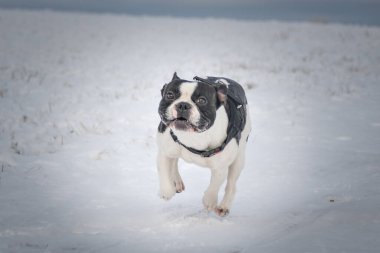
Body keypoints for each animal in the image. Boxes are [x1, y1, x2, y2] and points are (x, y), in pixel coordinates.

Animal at [156, 72, 251, 216]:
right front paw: (166, 191)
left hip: (239, 159)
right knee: (174, 160)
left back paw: (224, 206)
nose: (183, 105)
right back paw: (176, 182)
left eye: (202, 100)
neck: (194, 136)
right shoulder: (164, 151)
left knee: (231, 184)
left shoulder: (220, 167)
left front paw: (209, 201)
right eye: (170, 95)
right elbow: (164, 171)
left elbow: (215, 184)